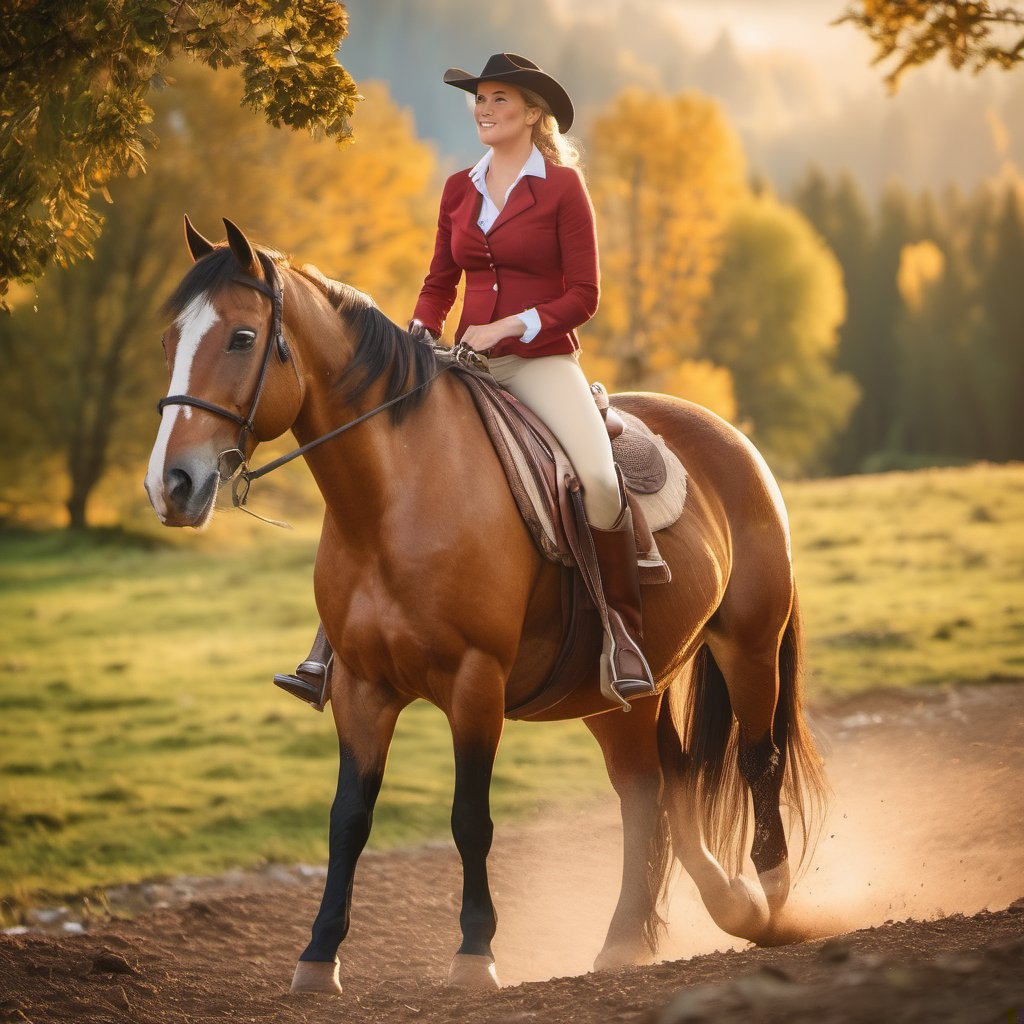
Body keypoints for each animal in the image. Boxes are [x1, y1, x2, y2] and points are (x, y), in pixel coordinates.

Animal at [144, 220, 827, 995]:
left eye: (239, 337)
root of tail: (733, 440)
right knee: (652, 790)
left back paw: (769, 900)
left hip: (749, 648)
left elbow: (470, 818)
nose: (171, 484)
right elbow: (348, 818)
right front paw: (318, 956)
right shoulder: (361, 688)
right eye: (170, 340)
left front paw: (475, 953)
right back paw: (644, 932)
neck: (399, 496)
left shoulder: (476, 684)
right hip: (618, 695)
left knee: (758, 759)